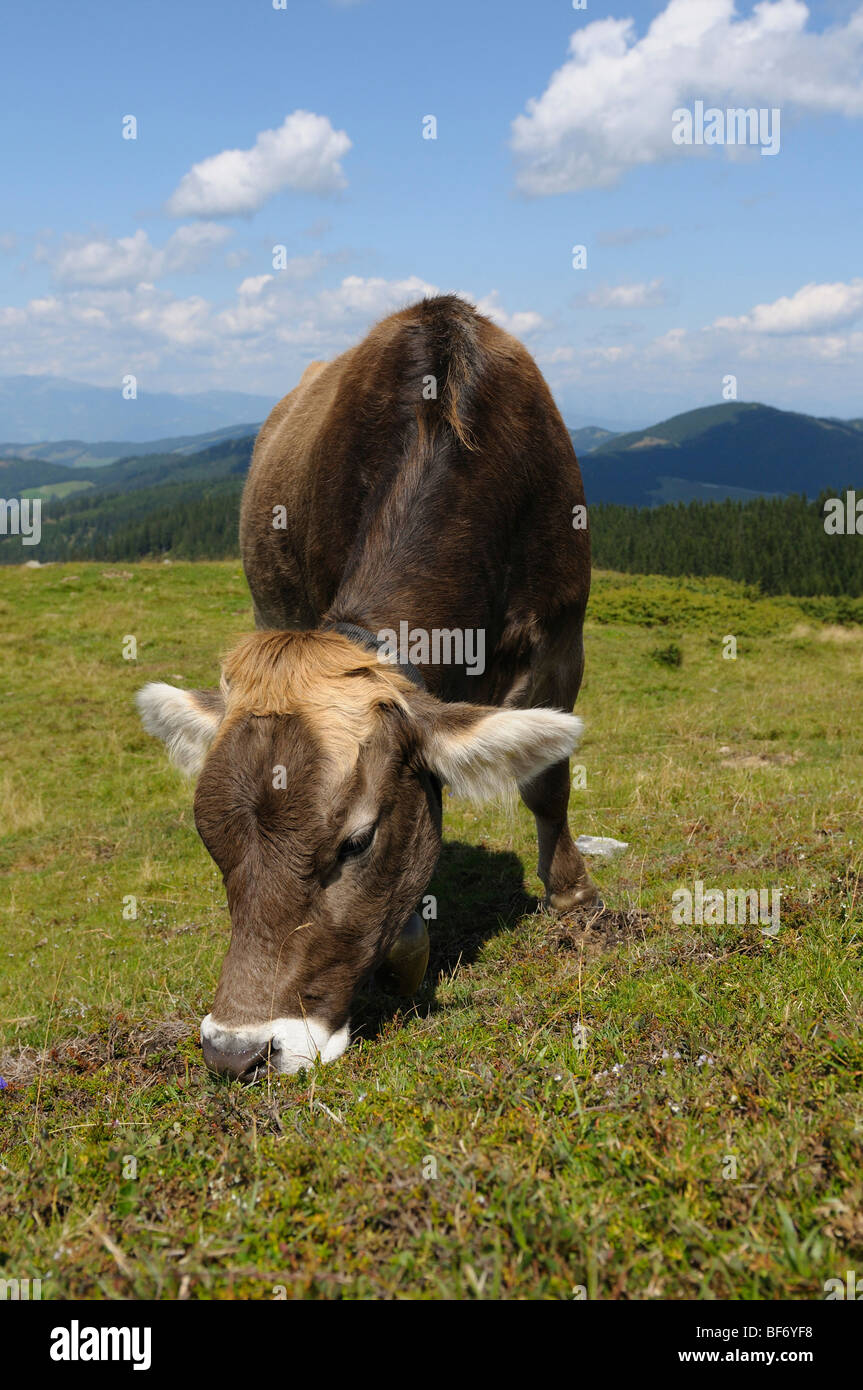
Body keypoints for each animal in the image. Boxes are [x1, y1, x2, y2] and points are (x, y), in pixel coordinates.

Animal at [137, 294, 598, 1079]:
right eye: (210, 840)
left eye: (357, 842)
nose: (237, 1051)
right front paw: (409, 950)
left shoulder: (562, 635)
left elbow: (548, 782)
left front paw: (573, 894)